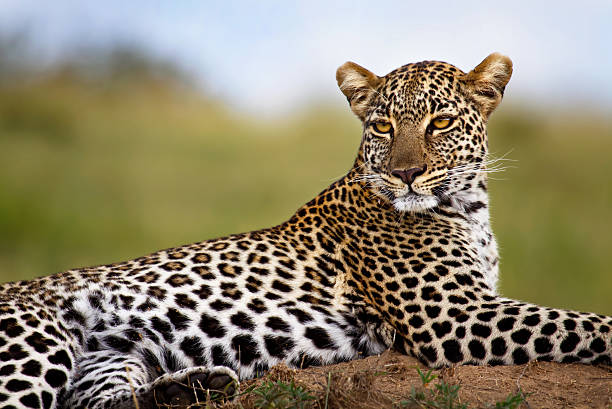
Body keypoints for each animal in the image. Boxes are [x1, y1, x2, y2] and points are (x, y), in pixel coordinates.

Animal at [0, 53, 608, 408]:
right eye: (383, 126)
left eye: (440, 122)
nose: (405, 174)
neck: (468, 208)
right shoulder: (454, 317)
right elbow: (578, 323)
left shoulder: (472, 305)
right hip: (37, 340)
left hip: (110, 355)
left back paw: (187, 389)